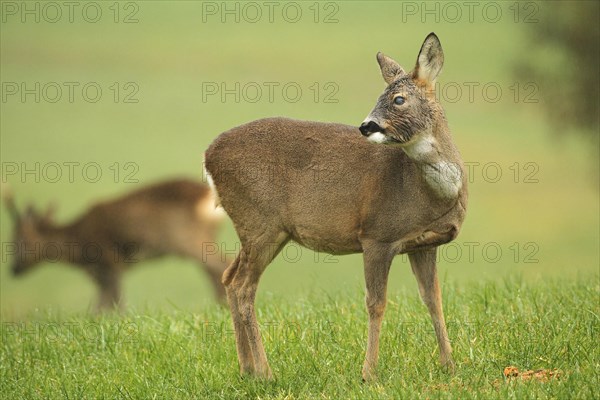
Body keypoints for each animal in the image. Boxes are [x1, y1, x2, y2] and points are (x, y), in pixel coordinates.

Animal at [2, 178, 227, 310]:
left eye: (19, 238)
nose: (13, 269)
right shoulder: (101, 271)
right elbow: (102, 304)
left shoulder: (109, 260)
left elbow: (113, 303)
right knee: (214, 271)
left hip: (188, 239)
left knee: (220, 266)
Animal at [206, 32, 468, 380]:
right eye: (380, 96)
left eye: (398, 99)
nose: (366, 126)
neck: (430, 192)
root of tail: (208, 156)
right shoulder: (377, 235)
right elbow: (376, 303)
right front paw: (369, 373)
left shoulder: (424, 244)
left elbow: (434, 299)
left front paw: (449, 365)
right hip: (259, 221)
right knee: (243, 286)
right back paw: (265, 372)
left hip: (266, 231)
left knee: (228, 277)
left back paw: (247, 369)